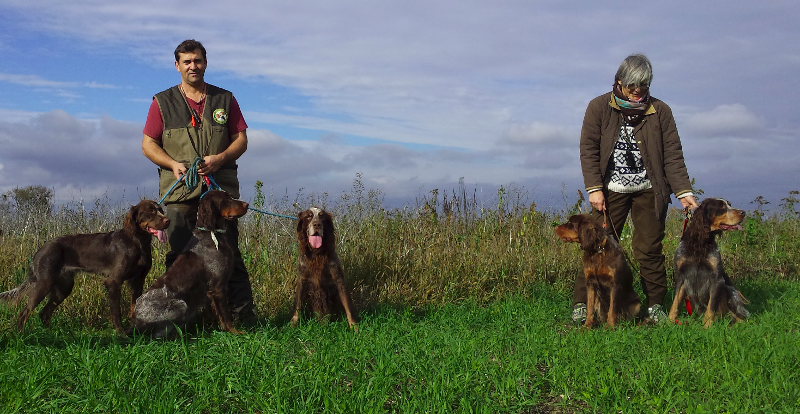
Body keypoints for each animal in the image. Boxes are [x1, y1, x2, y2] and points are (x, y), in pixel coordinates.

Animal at [0, 199, 169, 334]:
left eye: (161, 210)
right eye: (150, 211)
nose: (167, 221)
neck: (138, 242)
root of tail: (40, 250)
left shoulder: (138, 281)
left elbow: (134, 307)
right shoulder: (114, 281)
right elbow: (116, 311)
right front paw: (121, 334)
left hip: (63, 288)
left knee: (44, 313)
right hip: (44, 283)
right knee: (24, 313)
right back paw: (20, 336)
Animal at [130, 191, 248, 340]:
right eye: (225, 199)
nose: (247, 204)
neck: (211, 235)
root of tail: (135, 322)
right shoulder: (218, 287)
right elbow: (225, 315)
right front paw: (234, 332)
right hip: (181, 305)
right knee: (159, 335)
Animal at [668, 199, 752, 328]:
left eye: (729, 204)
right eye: (721, 206)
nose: (743, 212)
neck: (700, 244)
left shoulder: (717, 279)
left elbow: (711, 307)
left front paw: (707, 326)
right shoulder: (681, 276)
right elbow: (675, 303)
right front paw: (669, 322)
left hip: (730, 292)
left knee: (738, 315)